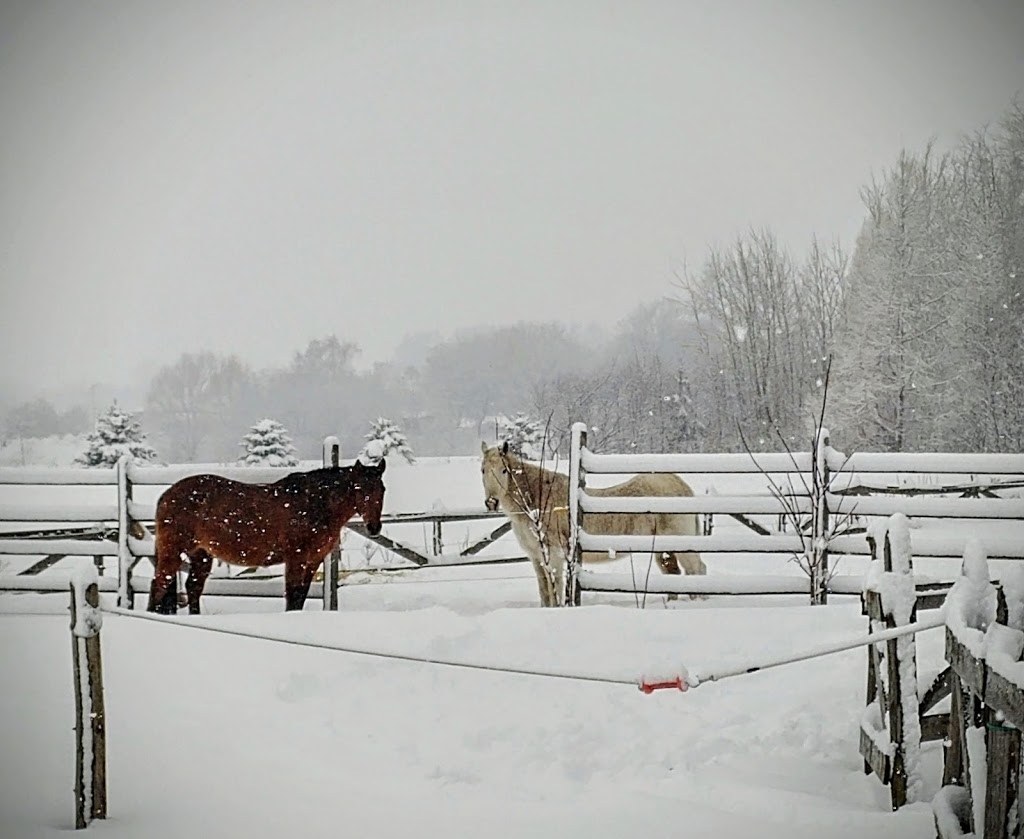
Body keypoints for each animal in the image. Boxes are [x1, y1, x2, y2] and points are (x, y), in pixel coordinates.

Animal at [150, 458, 387, 618]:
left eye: (382, 489)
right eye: (359, 489)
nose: (374, 527)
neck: (315, 503)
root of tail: (166, 496)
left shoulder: (313, 561)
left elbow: (301, 596)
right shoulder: (296, 559)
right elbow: (292, 596)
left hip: (201, 555)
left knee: (193, 587)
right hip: (173, 551)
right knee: (159, 584)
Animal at [479, 442, 704, 606]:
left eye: (504, 470)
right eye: (482, 470)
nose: (491, 502)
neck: (537, 502)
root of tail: (681, 485)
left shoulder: (554, 555)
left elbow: (555, 588)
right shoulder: (537, 557)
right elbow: (544, 591)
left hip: (682, 546)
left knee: (697, 570)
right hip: (663, 550)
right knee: (674, 574)